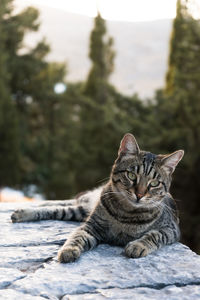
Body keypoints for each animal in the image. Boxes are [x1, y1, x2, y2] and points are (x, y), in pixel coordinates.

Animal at [10, 134, 183, 262]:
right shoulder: (92, 226)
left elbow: (154, 235)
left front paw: (138, 245)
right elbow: (77, 236)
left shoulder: (171, 229)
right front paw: (69, 249)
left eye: (154, 183)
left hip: (79, 211)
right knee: (58, 207)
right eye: (131, 175)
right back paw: (24, 211)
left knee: (64, 207)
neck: (127, 213)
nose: (139, 195)